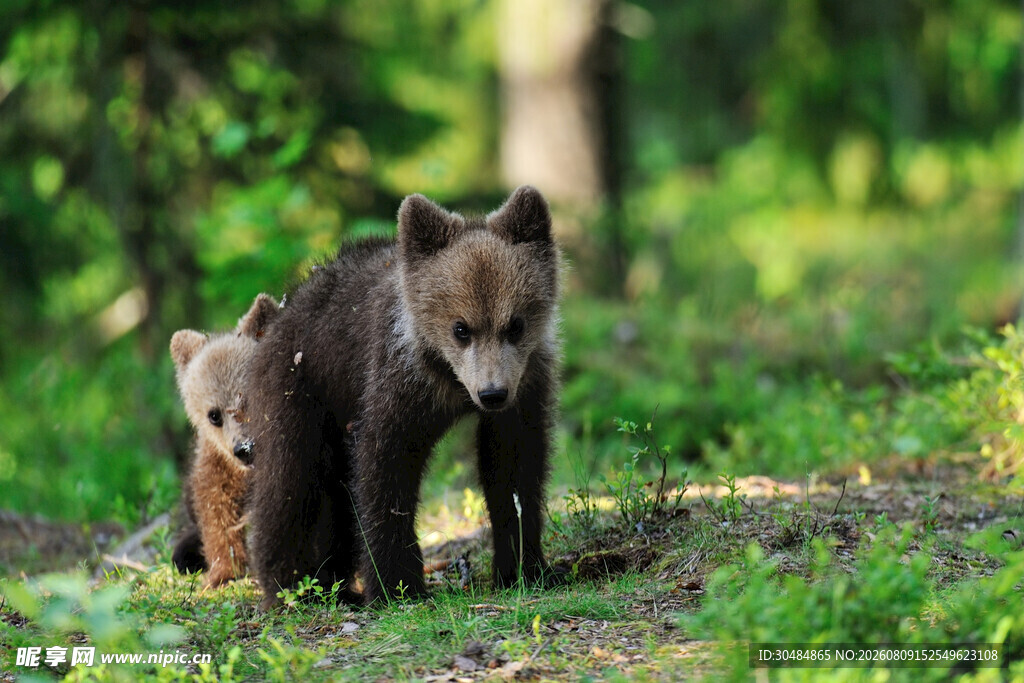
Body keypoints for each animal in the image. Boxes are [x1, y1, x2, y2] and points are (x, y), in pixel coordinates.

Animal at [169, 293, 280, 589]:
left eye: (251, 396)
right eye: (214, 414)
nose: (244, 448)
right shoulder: (216, 461)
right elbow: (215, 506)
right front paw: (224, 571)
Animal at [245, 185, 560, 609]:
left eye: (515, 324)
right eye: (461, 327)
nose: (492, 393)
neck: (450, 381)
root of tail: (281, 310)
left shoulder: (525, 387)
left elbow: (513, 470)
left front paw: (525, 568)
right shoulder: (398, 384)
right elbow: (385, 467)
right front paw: (397, 584)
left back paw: (334, 582)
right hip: (300, 387)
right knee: (289, 480)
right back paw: (289, 585)